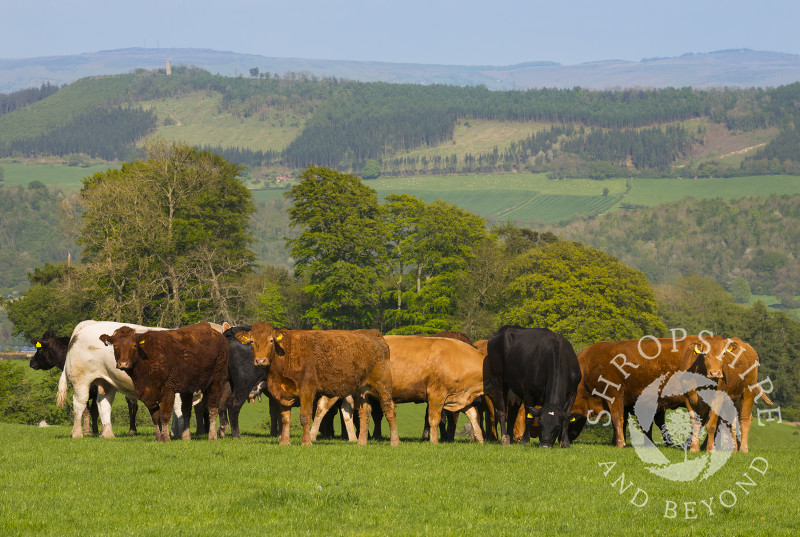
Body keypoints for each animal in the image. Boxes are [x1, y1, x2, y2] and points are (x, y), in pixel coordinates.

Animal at [99, 320, 228, 442]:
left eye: (134, 345)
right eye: (115, 346)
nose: (123, 363)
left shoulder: (168, 390)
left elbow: (164, 415)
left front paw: (166, 438)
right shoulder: (146, 393)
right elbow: (156, 417)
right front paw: (158, 438)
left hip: (216, 381)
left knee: (212, 408)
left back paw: (212, 436)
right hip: (188, 388)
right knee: (186, 410)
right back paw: (186, 437)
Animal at [233, 322, 398, 444]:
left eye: (271, 340)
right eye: (252, 341)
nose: (260, 360)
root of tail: (375, 335)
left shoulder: (307, 390)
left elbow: (305, 416)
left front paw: (306, 442)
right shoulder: (281, 393)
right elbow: (285, 418)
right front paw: (284, 442)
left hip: (383, 384)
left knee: (389, 409)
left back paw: (394, 442)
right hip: (360, 389)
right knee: (364, 412)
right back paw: (361, 442)